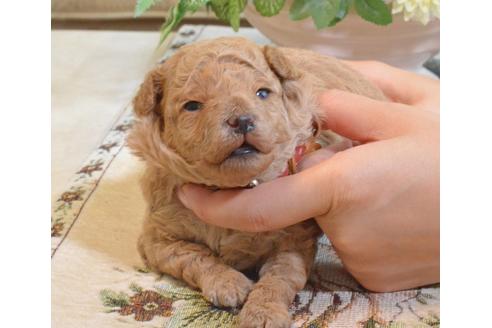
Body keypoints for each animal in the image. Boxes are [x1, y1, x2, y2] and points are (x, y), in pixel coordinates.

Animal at [128, 37, 384, 328]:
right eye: (192, 106)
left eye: (262, 93)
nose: (241, 120)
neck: (233, 188)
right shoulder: (157, 239)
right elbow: (193, 255)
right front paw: (227, 283)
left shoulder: (295, 240)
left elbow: (280, 277)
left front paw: (264, 312)